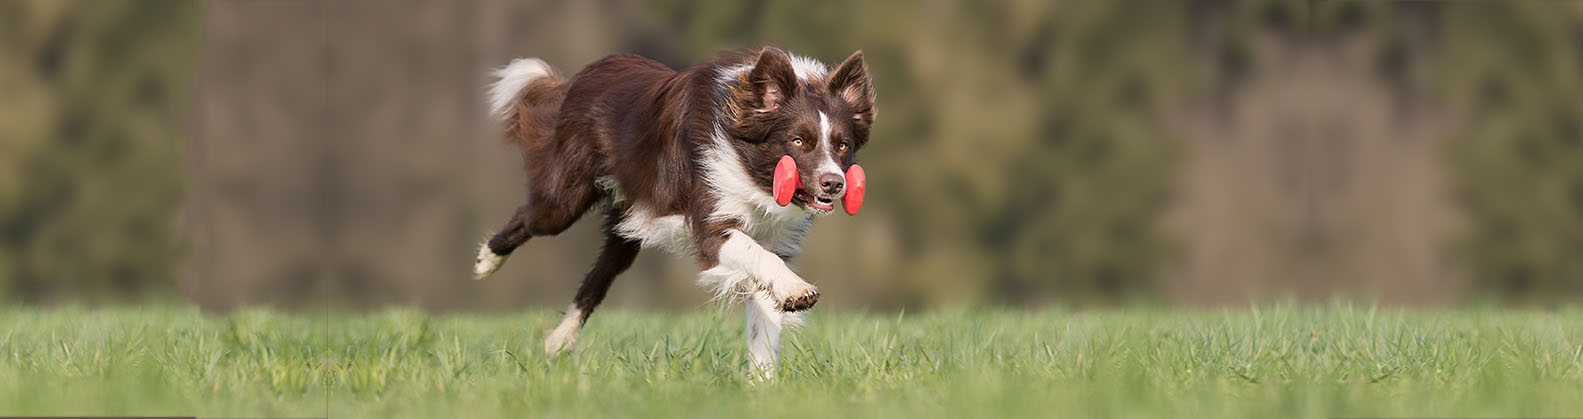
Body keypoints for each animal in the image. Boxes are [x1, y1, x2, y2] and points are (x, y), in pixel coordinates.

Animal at [471, 46, 880, 374]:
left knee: (598, 277)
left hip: (629, 224)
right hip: (563, 200)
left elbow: (763, 316)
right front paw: (797, 290)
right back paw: (486, 261)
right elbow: (756, 256)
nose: (834, 183)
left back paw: (560, 340)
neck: (751, 168)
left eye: (842, 145)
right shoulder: (711, 224)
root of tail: (577, 78)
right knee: (530, 218)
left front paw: (762, 385)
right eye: (798, 141)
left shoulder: (775, 237)